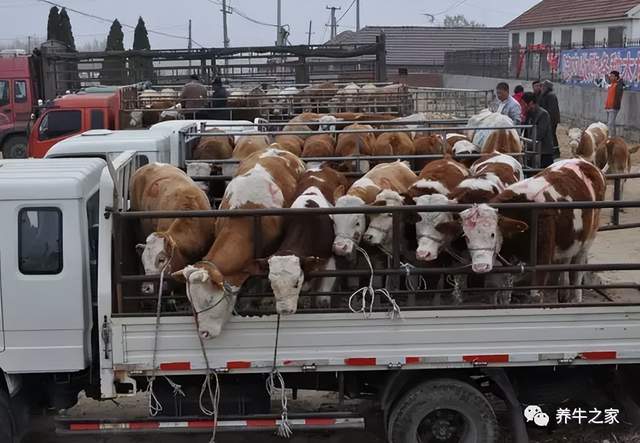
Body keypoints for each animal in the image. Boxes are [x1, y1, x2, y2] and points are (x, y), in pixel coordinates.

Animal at [458, 160, 604, 306]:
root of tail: (584, 162)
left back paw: (576, 299)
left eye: (492, 234)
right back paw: (563, 296)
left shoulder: (541, 260)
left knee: (577, 271)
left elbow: (536, 295)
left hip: (589, 238)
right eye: (467, 237)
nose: (480, 266)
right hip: (569, 239)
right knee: (565, 262)